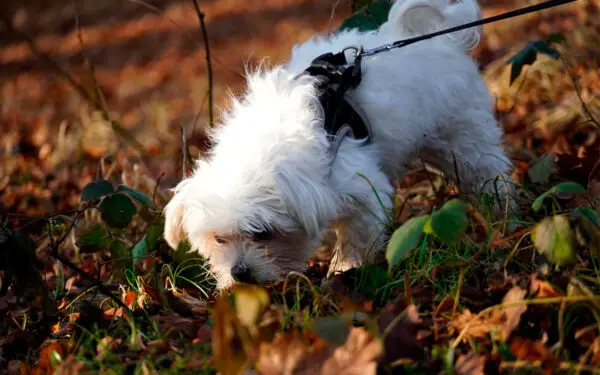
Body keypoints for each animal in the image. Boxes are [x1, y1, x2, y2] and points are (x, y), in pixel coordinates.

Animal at [165, 0, 516, 290]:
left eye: (262, 233)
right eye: (219, 239)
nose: (239, 273)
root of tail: (428, 37)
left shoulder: (359, 188)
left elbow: (357, 237)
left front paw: (344, 269)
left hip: (463, 136)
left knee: (489, 172)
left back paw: (504, 215)